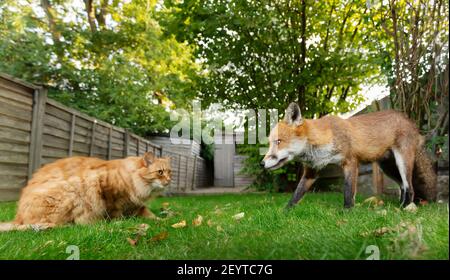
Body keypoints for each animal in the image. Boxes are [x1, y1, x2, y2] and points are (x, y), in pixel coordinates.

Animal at [0, 152, 171, 231]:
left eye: (170, 172)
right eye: (160, 172)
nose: (169, 181)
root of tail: (18, 217)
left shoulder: (137, 205)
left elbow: (152, 215)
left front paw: (164, 221)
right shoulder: (109, 193)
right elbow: (115, 213)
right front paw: (120, 223)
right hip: (73, 190)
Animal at [262, 102, 438, 208]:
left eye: (278, 141)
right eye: (270, 143)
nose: (261, 164)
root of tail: (409, 119)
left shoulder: (351, 161)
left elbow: (347, 190)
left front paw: (347, 211)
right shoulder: (312, 171)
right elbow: (296, 195)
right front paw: (285, 212)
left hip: (402, 162)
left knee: (410, 187)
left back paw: (404, 208)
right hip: (388, 167)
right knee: (402, 186)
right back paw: (399, 205)